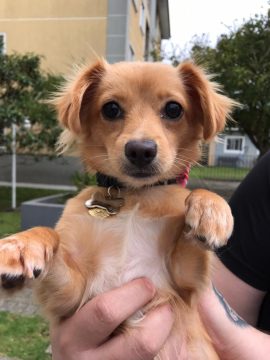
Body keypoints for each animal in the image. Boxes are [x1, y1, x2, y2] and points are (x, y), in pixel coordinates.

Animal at [0, 60, 235, 358]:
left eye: (174, 109)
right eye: (111, 109)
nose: (140, 150)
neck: (135, 196)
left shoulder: (185, 281)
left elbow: (194, 216)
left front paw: (210, 209)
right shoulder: (73, 295)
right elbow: (48, 233)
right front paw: (20, 245)